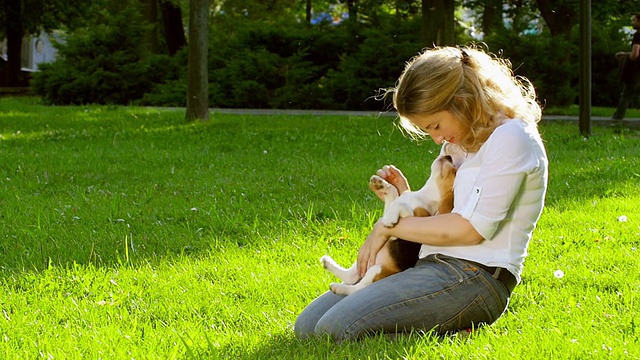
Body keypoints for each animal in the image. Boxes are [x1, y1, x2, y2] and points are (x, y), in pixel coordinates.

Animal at [322, 155, 458, 296]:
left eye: (455, 171)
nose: (449, 156)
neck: (424, 194)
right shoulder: (392, 204)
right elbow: (393, 194)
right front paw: (381, 183)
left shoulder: (415, 218)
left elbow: (401, 205)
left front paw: (389, 220)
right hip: (367, 258)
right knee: (351, 276)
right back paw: (328, 263)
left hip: (377, 270)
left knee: (357, 288)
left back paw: (339, 288)